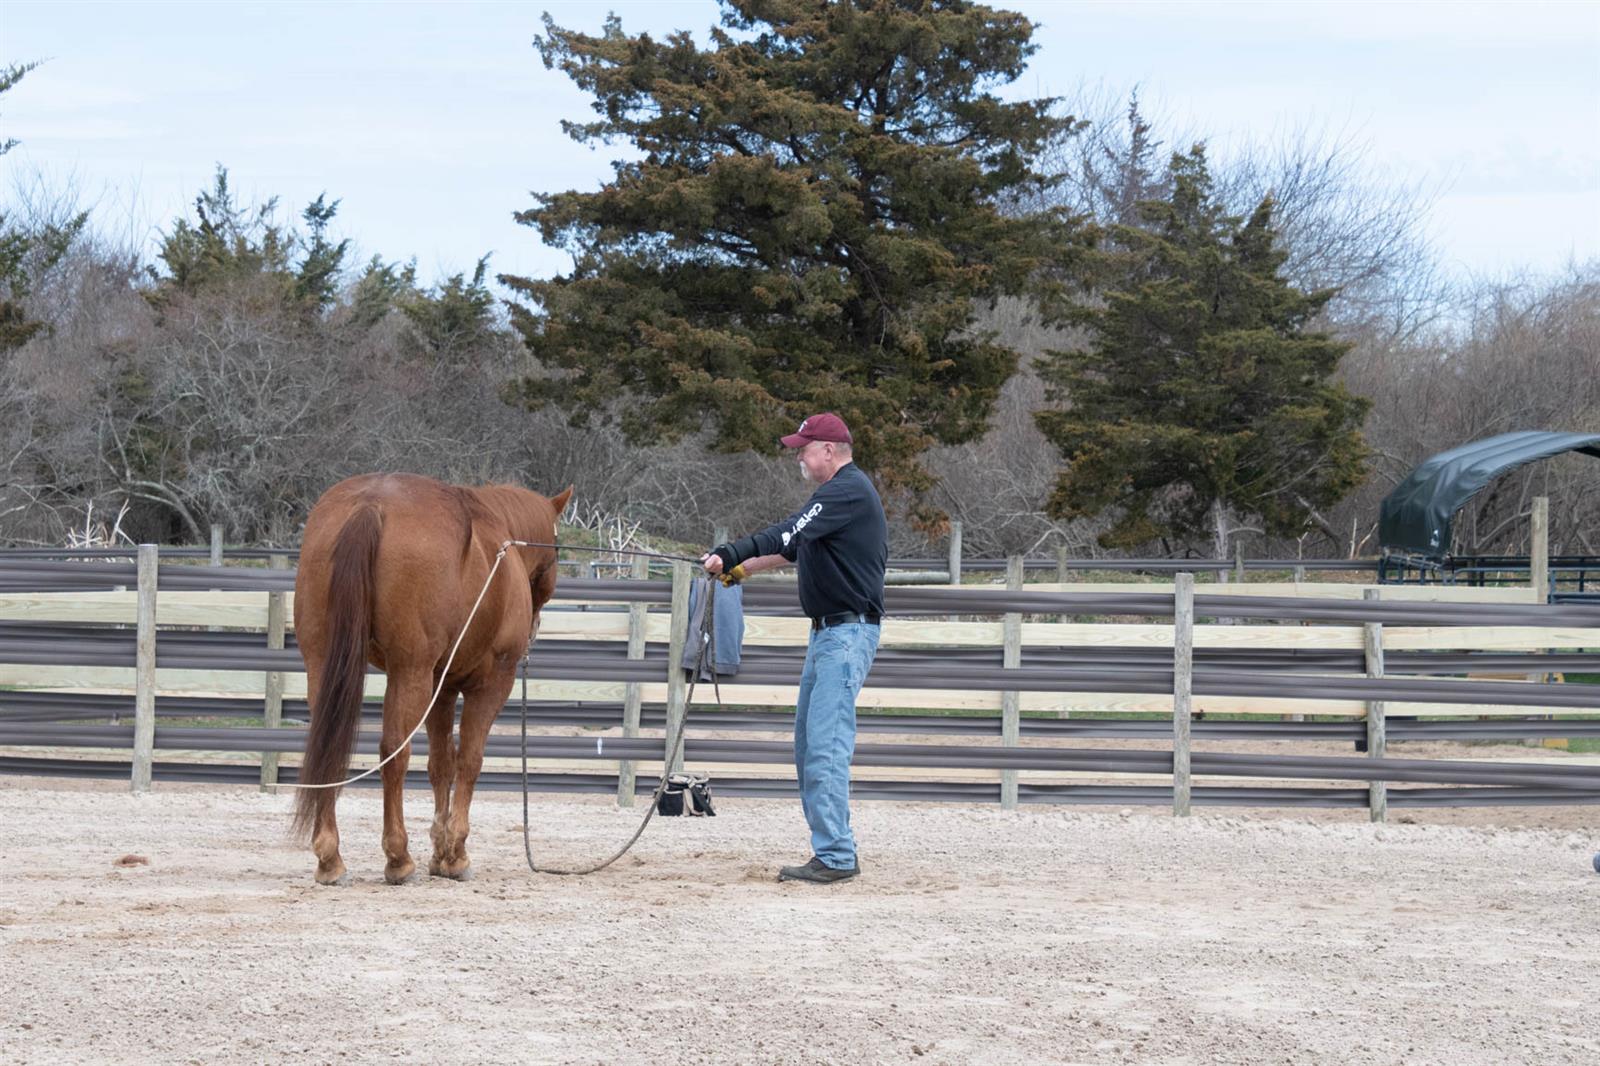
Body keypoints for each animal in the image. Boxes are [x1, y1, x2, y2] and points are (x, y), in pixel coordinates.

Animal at [291, 473, 572, 885]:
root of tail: (371, 503)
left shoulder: (443, 688)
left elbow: (442, 764)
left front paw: (440, 852)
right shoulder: (490, 684)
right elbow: (469, 760)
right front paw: (456, 853)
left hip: (324, 664)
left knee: (326, 746)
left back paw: (330, 858)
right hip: (411, 671)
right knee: (395, 751)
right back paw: (398, 858)